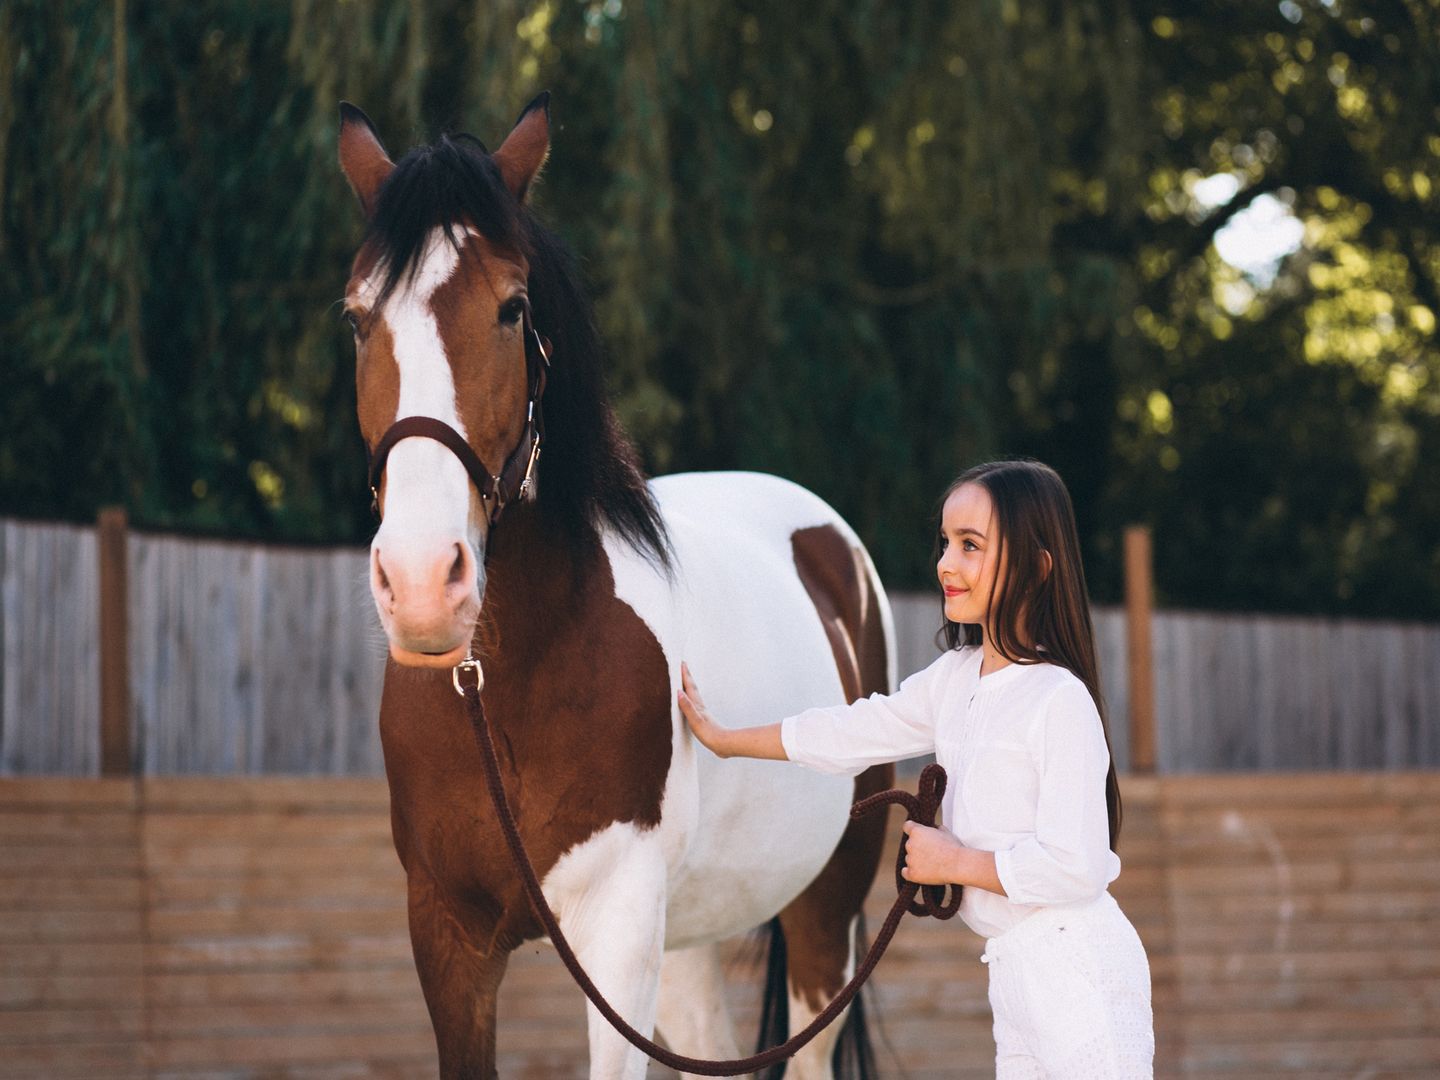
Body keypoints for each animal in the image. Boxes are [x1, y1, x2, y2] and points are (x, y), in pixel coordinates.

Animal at [337, 93, 895, 1080]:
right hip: (692, 937)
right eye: (359, 318)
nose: (422, 581)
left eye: (513, 307)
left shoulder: (618, 931)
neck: (507, 690)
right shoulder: (447, 936)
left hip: (824, 913)